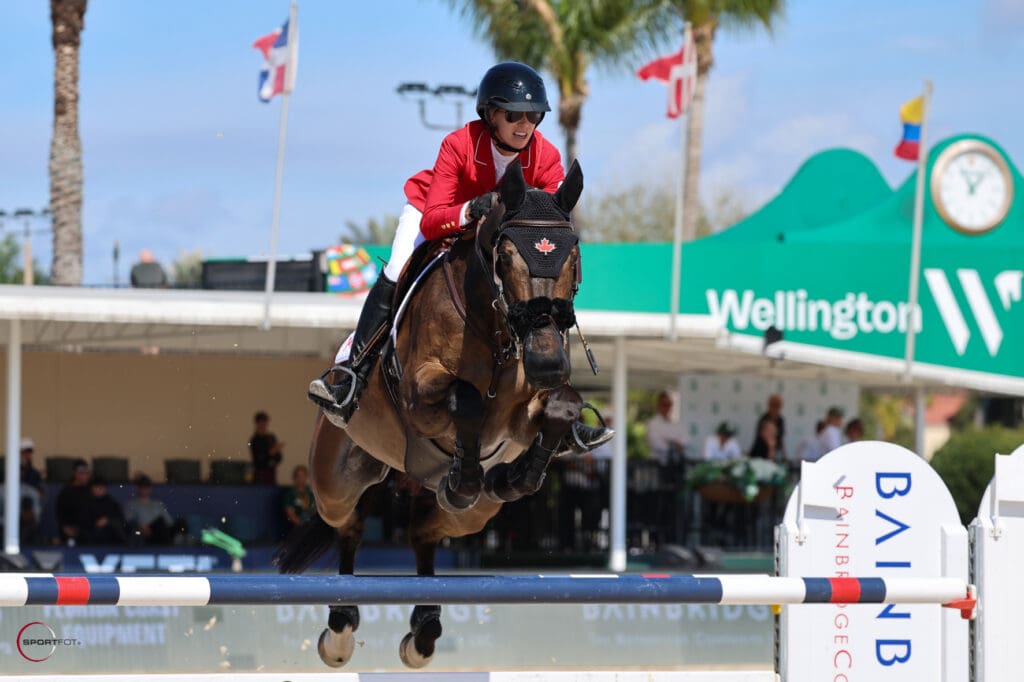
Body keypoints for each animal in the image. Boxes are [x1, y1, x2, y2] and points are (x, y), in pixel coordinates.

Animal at [276, 159, 588, 669]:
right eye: (505, 258)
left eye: (573, 257)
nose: (547, 362)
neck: (494, 325)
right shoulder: (420, 395)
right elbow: (468, 400)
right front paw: (466, 476)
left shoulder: (528, 408)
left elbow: (562, 406)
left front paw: (516, 475)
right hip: (335, 480)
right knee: (349, 526)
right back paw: (340, 630)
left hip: (473, 517)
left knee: (424, 531)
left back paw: (424, 628)